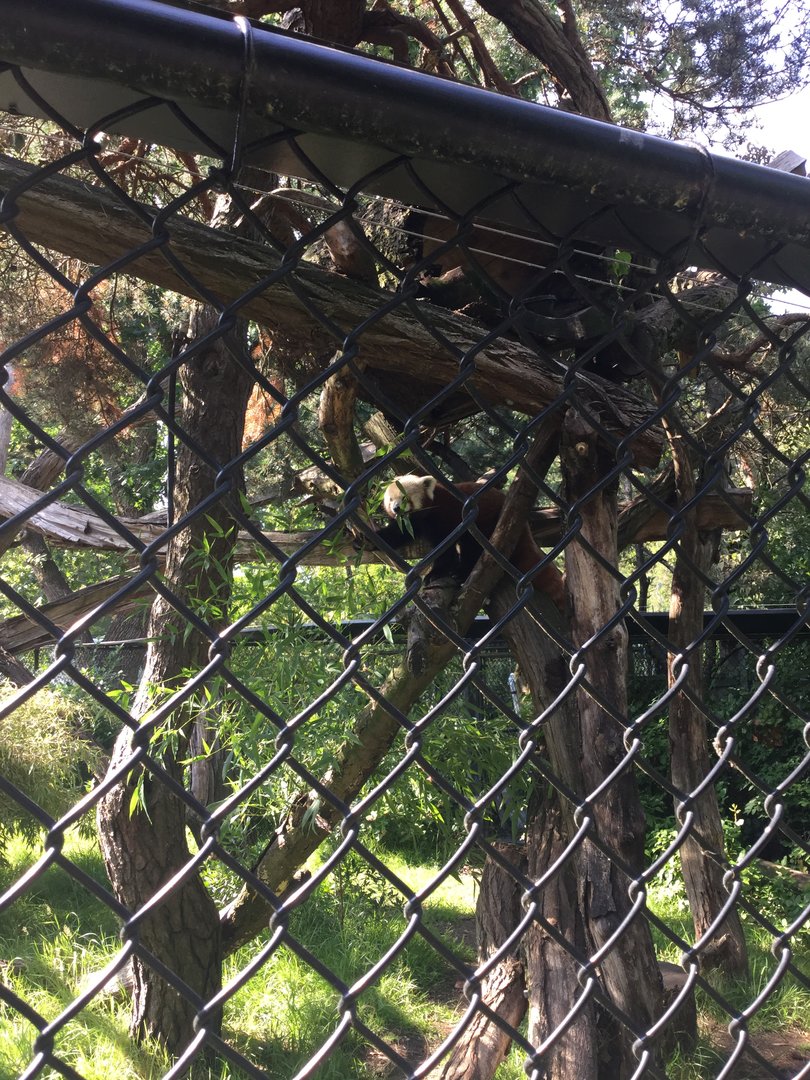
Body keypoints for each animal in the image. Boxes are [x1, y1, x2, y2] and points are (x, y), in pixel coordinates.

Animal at [373, 474, 564, 609]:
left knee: (474, 550)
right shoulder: (414, 522)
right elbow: (400, 532)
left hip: (486, 524)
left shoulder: (444, 516)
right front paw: (372, 538)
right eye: (390, 499)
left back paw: (461, 572)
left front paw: (436, 573)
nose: (396, 508)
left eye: (405, 498)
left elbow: (446, 550)